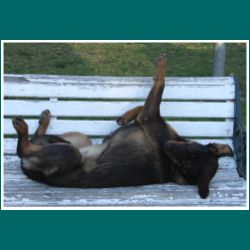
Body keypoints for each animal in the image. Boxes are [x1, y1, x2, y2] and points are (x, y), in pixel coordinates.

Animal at [11, 53, 233, 198]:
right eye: (190, 151)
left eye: (188, 161)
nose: (166, 146)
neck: (174, 167)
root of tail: (29, 171)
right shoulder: (149, 119)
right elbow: (143, 104)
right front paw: (126, 116)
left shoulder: (149, 117)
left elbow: (159, 84)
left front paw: (160, 68)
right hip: (76, 138)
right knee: (38, 138)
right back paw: (43, 120)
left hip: (70, 152)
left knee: (24, 148)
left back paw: (21, 127)